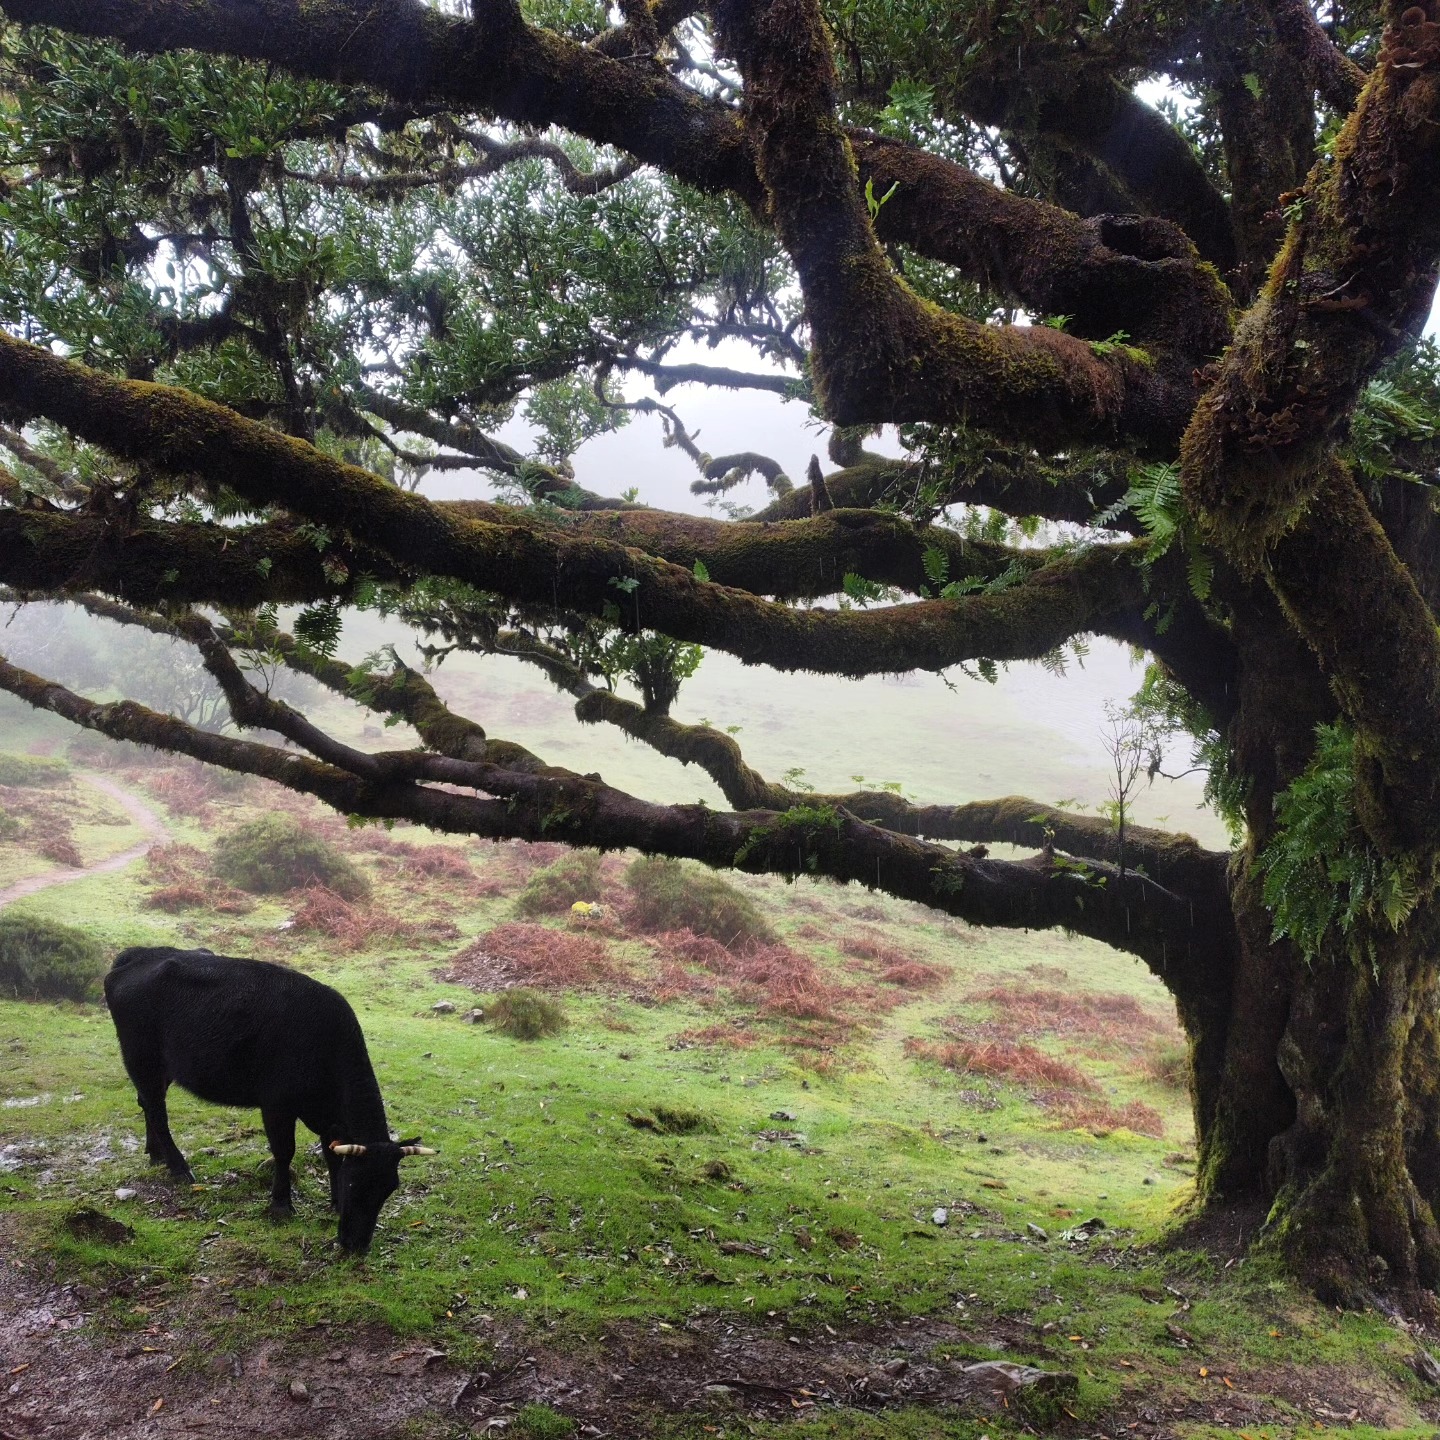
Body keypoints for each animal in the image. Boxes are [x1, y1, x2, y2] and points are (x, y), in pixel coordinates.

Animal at [104, 946, 433, 1254]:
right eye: (355, 1182)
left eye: (389, 1188)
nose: (356, 1244)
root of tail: (140, 954)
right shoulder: (276, 1104)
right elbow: (284, 1152)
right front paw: (281, 1205)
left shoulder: (328, 1118)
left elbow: (331, 1154)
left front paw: (335, 1202)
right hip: (141, 1059)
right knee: (157, 1111)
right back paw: (178, 1167)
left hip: (162, 1069)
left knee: (147, 1103)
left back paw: (155, 1153)